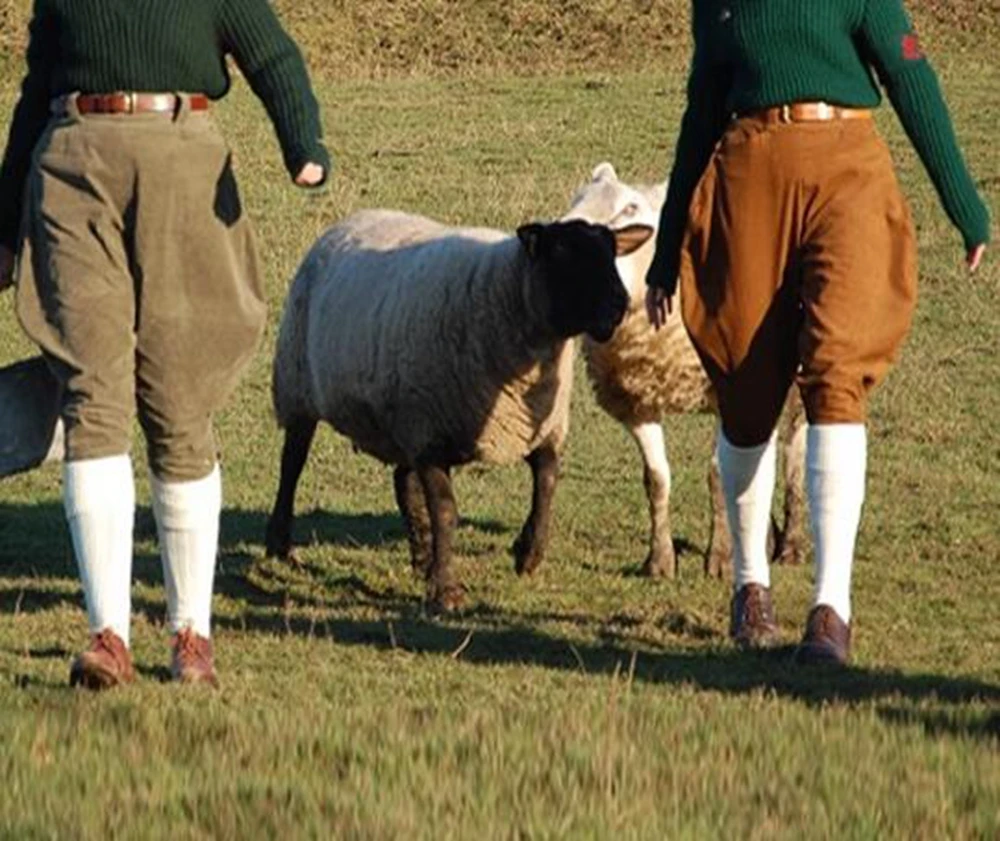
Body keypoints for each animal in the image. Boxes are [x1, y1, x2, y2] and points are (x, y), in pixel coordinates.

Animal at [266, 207, 648, 608]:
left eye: (612, 252)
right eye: (561, 253)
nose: (619, 305)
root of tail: (351, 219)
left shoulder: (540, 428)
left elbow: (546, 485)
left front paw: (528, 554)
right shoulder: (431, 437)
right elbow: (446, 511)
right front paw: (446, 589)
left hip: (400, 418)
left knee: (403, 482)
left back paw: (422, 558)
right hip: (298, 387)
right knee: (292, 464)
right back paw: (280, 545)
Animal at [564, 167, 804, 580]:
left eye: (630, 208)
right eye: (576, 201)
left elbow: (719, 476)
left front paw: (721, 560)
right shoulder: (636, 401)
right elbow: (656, 479)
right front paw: (659, 561)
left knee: (796, 449)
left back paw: (790, 544)